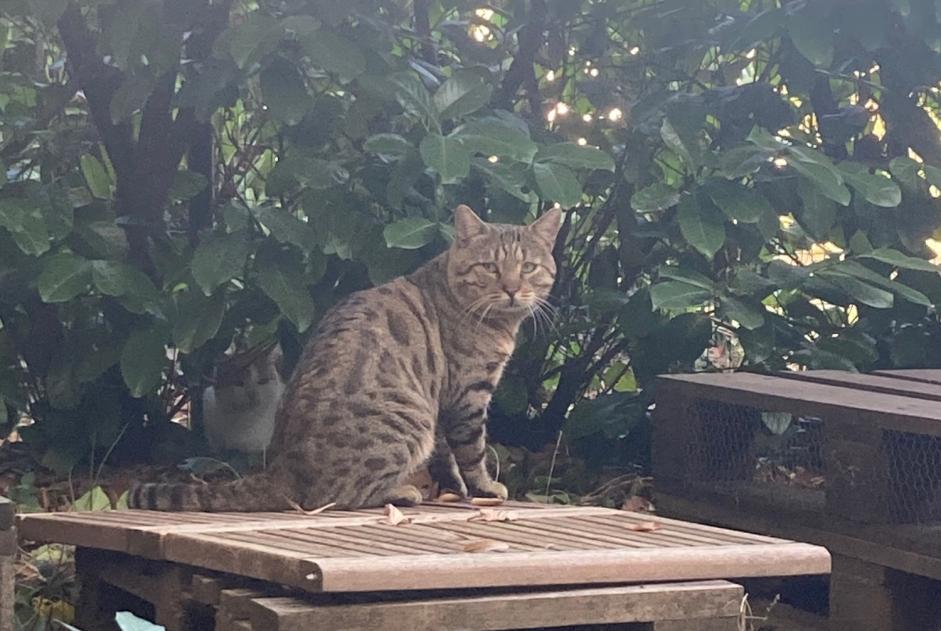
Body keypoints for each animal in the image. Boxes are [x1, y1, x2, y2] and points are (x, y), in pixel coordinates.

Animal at [130, 205, 560, 512]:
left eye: (528, 266)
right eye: (490, 267)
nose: (512, 289)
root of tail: (281, 470)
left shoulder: (440, 403)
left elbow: (445, 457)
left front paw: (454, 488)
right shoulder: (466, 395)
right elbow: (472, 451)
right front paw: (485, 487)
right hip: (407, 419)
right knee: (336, 496)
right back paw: (401, 492)